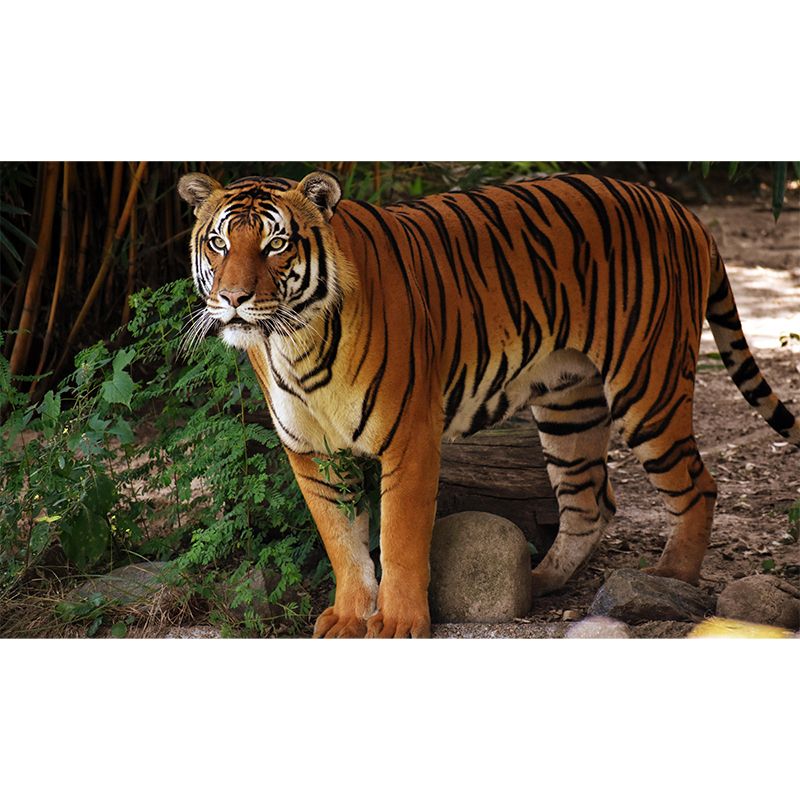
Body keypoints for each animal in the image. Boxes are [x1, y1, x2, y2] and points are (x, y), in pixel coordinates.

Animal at [177, 169, 800, 638]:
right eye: (219, 243)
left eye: (276, 243)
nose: (232, 299)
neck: (293, 341)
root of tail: (681, 211)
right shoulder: (312, 452)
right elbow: (343, 542)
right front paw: (350, 617)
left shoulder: (410, 439)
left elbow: (400, 539)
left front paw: (397, 623)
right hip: (569, 403)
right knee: (590, 501)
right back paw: (541, 580)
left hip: (649, 385)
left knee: (697, 486)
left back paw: (670, 579)